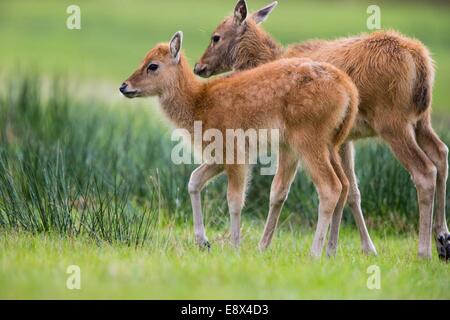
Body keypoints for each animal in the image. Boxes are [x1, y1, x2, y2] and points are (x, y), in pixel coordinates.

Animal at [120, 31, 358, 258]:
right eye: (143, 59)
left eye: (153, 65)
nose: (124, 86)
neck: (199, 105)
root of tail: (350, 91)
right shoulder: (219, 157)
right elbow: (194, 180)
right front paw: (203, 242)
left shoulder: (236, 152)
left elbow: (234, 199)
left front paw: (234, 246)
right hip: (331, 144)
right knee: (345, 184)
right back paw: (330, 251)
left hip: (308, 140)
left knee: (330, 187)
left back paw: (314, 253)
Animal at [195, 0, 448, 260]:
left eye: (215, 37)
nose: (198, 66)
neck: (266, 61)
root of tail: (421, 62)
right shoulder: (343, 140)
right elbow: (352, 191)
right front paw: (356, 248)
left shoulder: (291, 139)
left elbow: (278, 191)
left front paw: (263, 245)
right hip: (421, 120)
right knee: (441, 153)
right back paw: (442, 239)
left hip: (392, 122)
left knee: (424, 171)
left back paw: (424, 250)